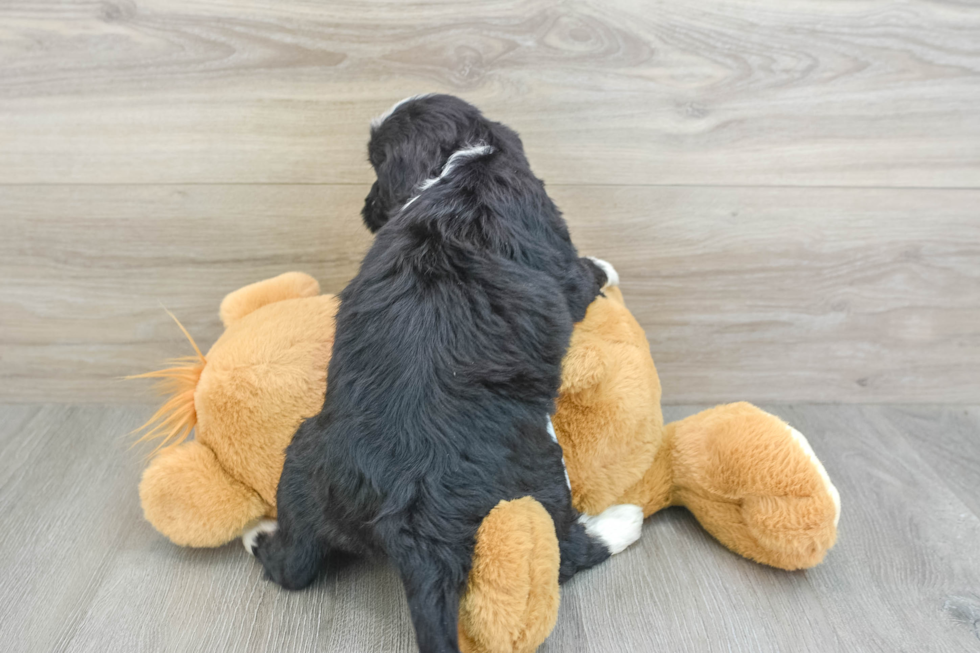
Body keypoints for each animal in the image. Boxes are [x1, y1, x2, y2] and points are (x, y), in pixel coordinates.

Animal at [247, 95, 636, 652]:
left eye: (377, 166)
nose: (367, 208)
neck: (466, 160)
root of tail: (413, 516)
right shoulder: (559, 259)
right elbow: (583, 275)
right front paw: (606, 266)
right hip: (538, 473)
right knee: (565, 549)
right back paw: (622, 523)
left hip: (303, 463)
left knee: (295, 567)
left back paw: (258, 535)